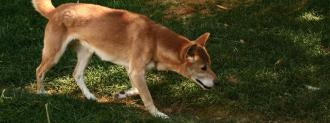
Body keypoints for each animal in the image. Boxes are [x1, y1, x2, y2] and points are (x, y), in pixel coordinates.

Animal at [31, 0, 217, 118]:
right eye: (203, 68)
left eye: (210, 64)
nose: (217, 81)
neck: (155, 40)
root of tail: (56, 10)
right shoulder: (136, 71)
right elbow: (147, 97)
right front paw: (157, 114)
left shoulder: (132, 70)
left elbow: (136, 89)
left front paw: (122, 94)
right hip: (54, 53)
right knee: (39, 70)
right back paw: (41, 94)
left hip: (86, 52)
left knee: (76, 74)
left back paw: (90, 96)